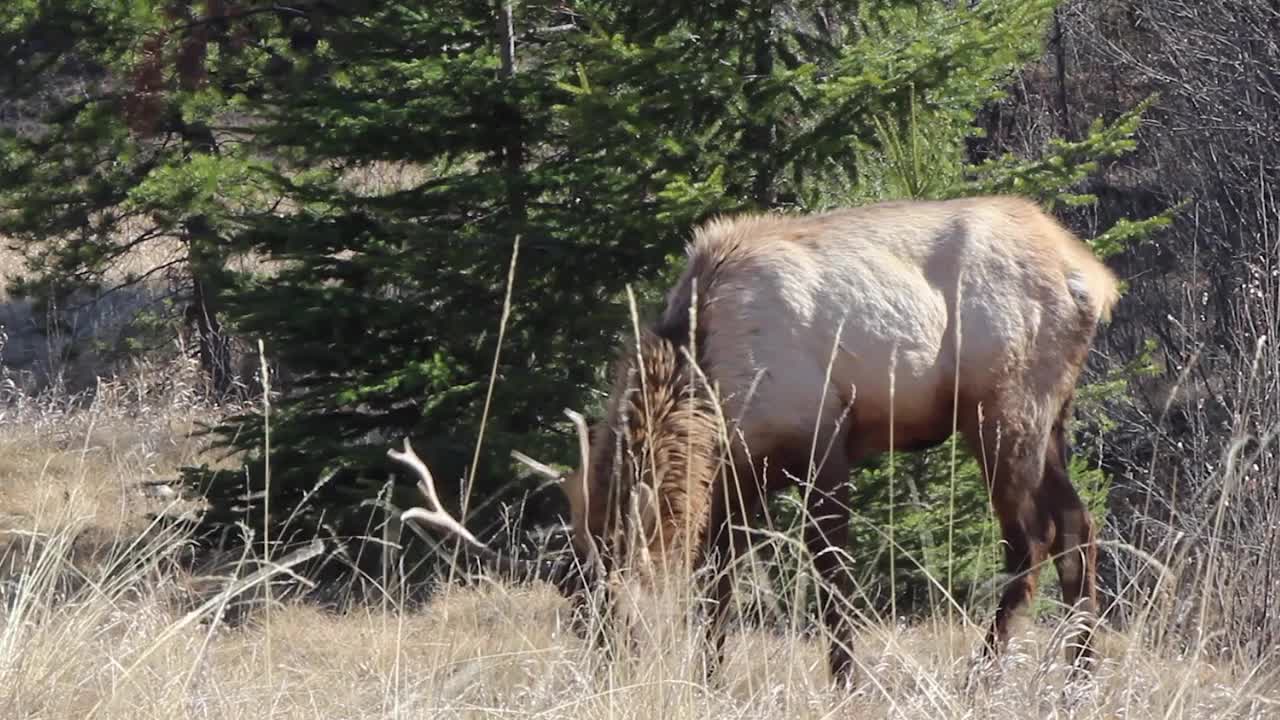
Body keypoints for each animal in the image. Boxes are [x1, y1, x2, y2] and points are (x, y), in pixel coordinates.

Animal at [391, 194, 1121, 681]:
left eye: (612, 618)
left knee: (1031, 540)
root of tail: (1095, 279)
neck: (712, 382)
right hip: (1051, 419)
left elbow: (831, 578)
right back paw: (1079, 675)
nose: (609, 681)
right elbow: (717, 586)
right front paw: (710, 679)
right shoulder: (738, 475)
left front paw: (845, 681)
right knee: (1079, 524)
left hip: (1002, 410)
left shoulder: (826, 441)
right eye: (576, 617)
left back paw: (981, 676)